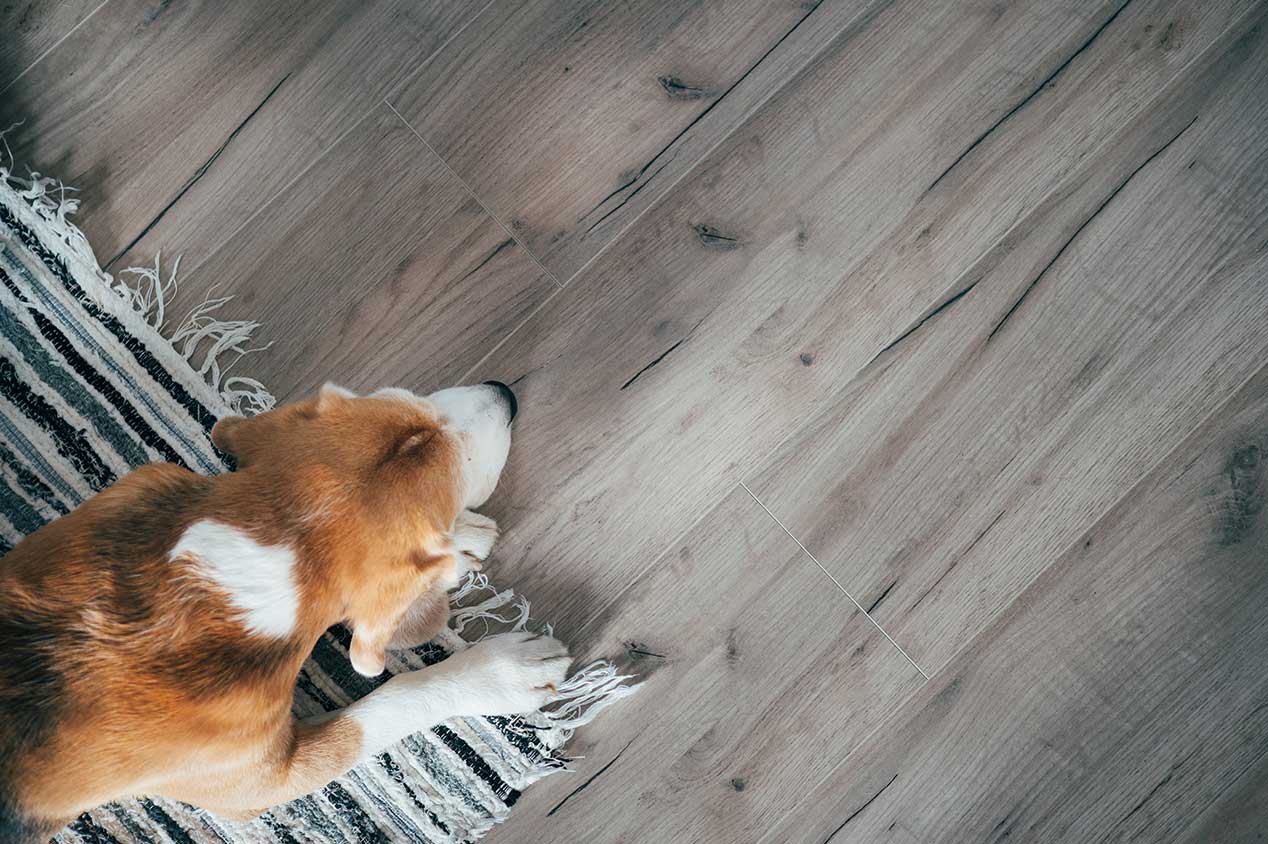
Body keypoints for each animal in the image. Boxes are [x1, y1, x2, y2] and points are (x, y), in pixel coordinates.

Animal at [0, 380, 570, 836]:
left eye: (415, 398)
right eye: (463, 467)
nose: (506, 393)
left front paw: (464, 543)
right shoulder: (265, 784)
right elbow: (392, 701)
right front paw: (503, 673)